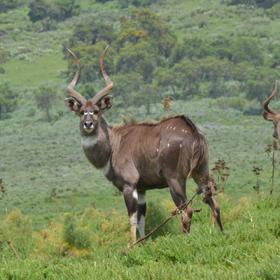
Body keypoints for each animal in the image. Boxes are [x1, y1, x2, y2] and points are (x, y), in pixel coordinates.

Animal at [64, 46, 223, 243]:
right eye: (81, 112)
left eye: (96, 111)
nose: (88, 124)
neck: (114, 144)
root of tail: (192, 130)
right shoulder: (142, 189)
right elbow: (142, 219)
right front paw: (143, 243)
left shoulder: (129, 184)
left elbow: (132, 218)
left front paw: (132, 245)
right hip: (201, 171)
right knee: (213, 202)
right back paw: (220, 233)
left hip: (175, 179)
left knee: (187, 210)